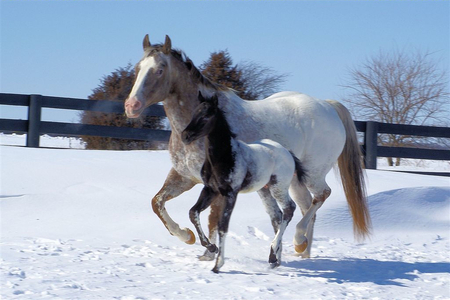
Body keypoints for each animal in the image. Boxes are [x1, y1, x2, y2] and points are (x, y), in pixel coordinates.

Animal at [183, 92, 306, 274]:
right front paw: (211, 248)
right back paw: (275, 259)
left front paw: (218, 264)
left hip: (279, 187)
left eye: (207, 115)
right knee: (277, 216)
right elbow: (193, 212)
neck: (224, 157)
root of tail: (288, 152)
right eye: (194, 113)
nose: (185, 135)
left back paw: (273, 251)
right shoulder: (210, 190)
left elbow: (222, 226)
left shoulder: (231, 193)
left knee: (289, 209)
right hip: (265, 190)